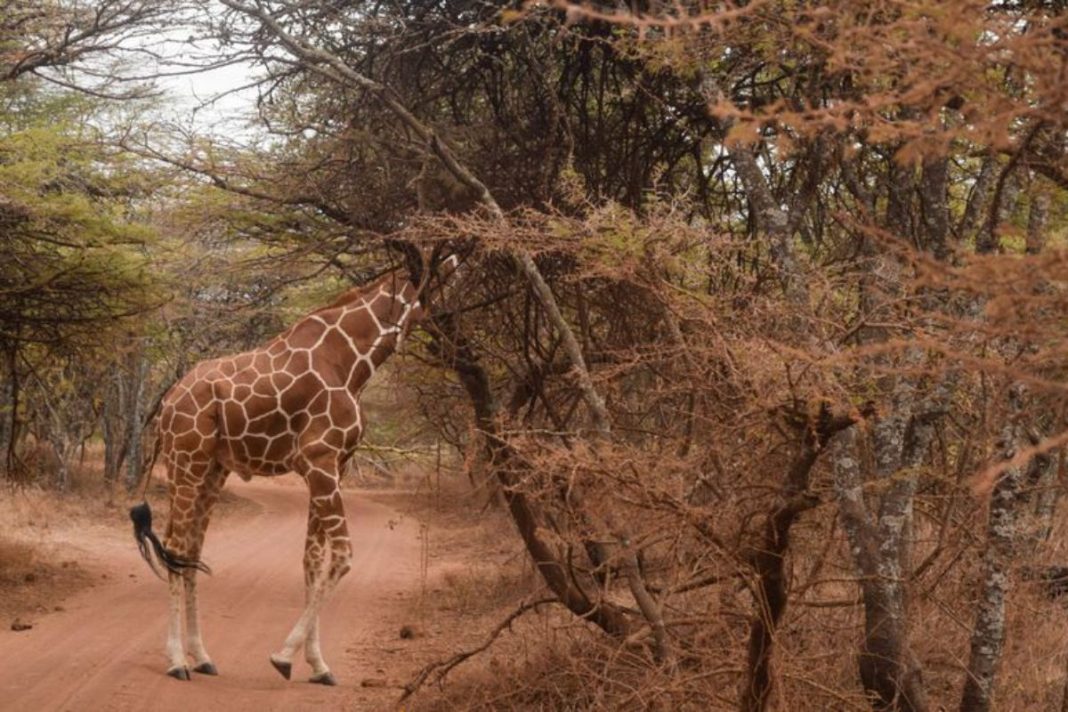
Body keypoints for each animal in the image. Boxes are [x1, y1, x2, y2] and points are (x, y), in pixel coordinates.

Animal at [130, 255, 459, 684]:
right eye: (443, 284)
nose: (451, 339)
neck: (351, 362)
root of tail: (167, 402)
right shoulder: (320, 460)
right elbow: (342, 555)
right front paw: (284, 657)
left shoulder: (334, 465)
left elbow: (313, 560)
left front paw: (318, 665)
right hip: (187, 461)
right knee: (175, 546)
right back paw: (176, 662)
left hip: (213, 470)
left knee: (190, 551)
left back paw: (201, 657)